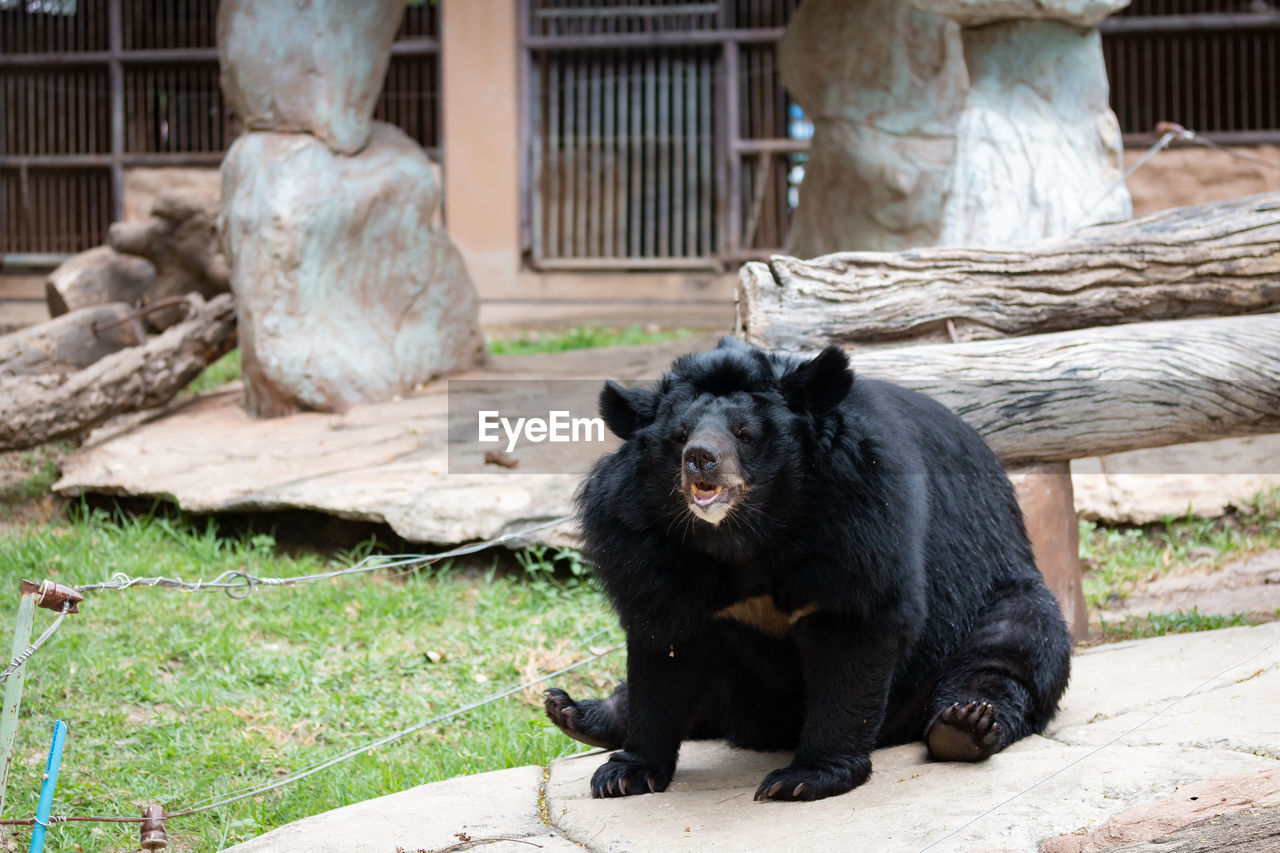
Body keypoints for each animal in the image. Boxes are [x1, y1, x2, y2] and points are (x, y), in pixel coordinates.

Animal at [545, 338, 1075, 799]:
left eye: (745, 434)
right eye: (679, 436)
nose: (700, 460)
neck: (743, 535)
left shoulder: (858, 518)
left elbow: (855, 628)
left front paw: (803, 779)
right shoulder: (644, 543)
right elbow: (665, 647)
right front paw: (625, 773)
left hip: (994, 595)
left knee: (1012, 646)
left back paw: (964, 726)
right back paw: (575, 712)